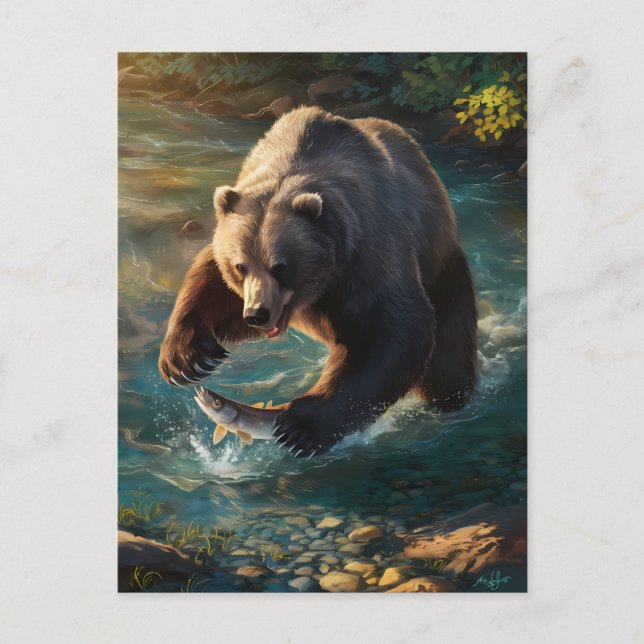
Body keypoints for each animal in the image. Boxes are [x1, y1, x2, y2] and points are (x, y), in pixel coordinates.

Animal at [159, 107, 477, 457]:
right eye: (240, 266)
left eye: (280, 267)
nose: (257, 314)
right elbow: (209, 286)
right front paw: (187, 360)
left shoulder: (365, 257)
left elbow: (394, 332)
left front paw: (301, 426)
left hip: (441, 265)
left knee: (447, 352)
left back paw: (450, 399)